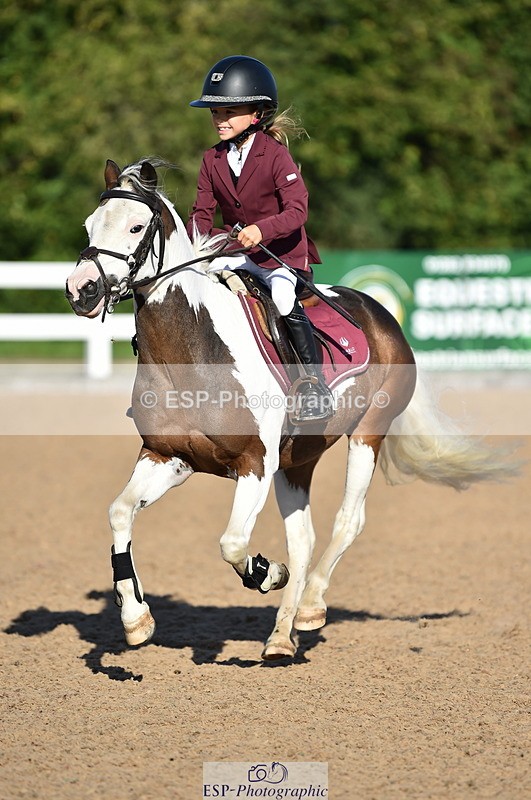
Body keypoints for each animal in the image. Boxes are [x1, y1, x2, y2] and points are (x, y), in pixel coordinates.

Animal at [66, 158, 512, 660]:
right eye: (89, 224)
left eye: (136, 226)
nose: (81, 290)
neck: (192, 348)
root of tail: (380, 313)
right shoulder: (170, 457)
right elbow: (120, 512)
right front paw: (135, 617)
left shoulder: (255, 463)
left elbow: (232, 543)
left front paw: (266, 574)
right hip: (298, 460)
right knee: (303, 539)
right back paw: (281, 637)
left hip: (367, 435)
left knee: (348, 521)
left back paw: (310, 606)